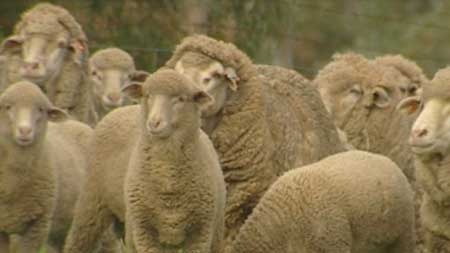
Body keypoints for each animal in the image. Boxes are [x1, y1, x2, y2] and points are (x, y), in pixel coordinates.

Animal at [0, 81, 92, 253]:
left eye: (41, 109)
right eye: (8, 107)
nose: (25, 130)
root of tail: (76, 122)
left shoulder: (39, 225)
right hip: (62, 228)